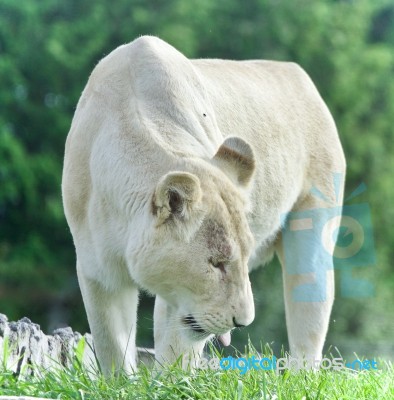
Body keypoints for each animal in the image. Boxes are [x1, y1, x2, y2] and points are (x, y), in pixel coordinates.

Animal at [60, 35, 344, 376]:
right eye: (216, 263)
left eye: (243, 260)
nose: (242, 321)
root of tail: (301, 77)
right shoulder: (98, 268)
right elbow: (112, 345)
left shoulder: (181, 297)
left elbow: (177, 350)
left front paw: (170, 383)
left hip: (314, 227)